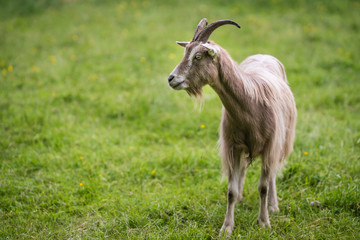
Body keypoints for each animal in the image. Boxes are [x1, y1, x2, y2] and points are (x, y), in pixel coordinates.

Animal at [167, 18, 296, 236]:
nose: (171, 79)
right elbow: (231, 191)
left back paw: (273, 206)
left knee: (272, 174)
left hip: (281, 140)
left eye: (198, 56)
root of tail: (264, 55)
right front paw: (227, 227)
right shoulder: (233, 146)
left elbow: (263, 187)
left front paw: (264, 222)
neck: (252, 105)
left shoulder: (270, 145)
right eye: (186, 53)